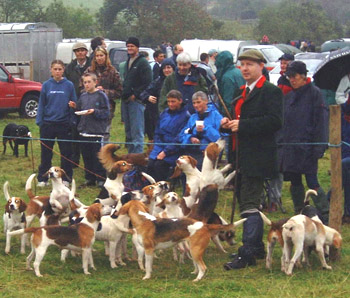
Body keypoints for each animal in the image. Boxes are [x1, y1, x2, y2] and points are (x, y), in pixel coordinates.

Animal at [117, 200, 246, 282]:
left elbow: (147, 266)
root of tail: (204, 225)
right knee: (197, 265)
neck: (143, 220)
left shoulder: (148, 250)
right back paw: (194, 273)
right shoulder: (149, 251)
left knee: (203, 267)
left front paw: (147, 277)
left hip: (195, 250)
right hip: (193, 249)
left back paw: (197, 279)